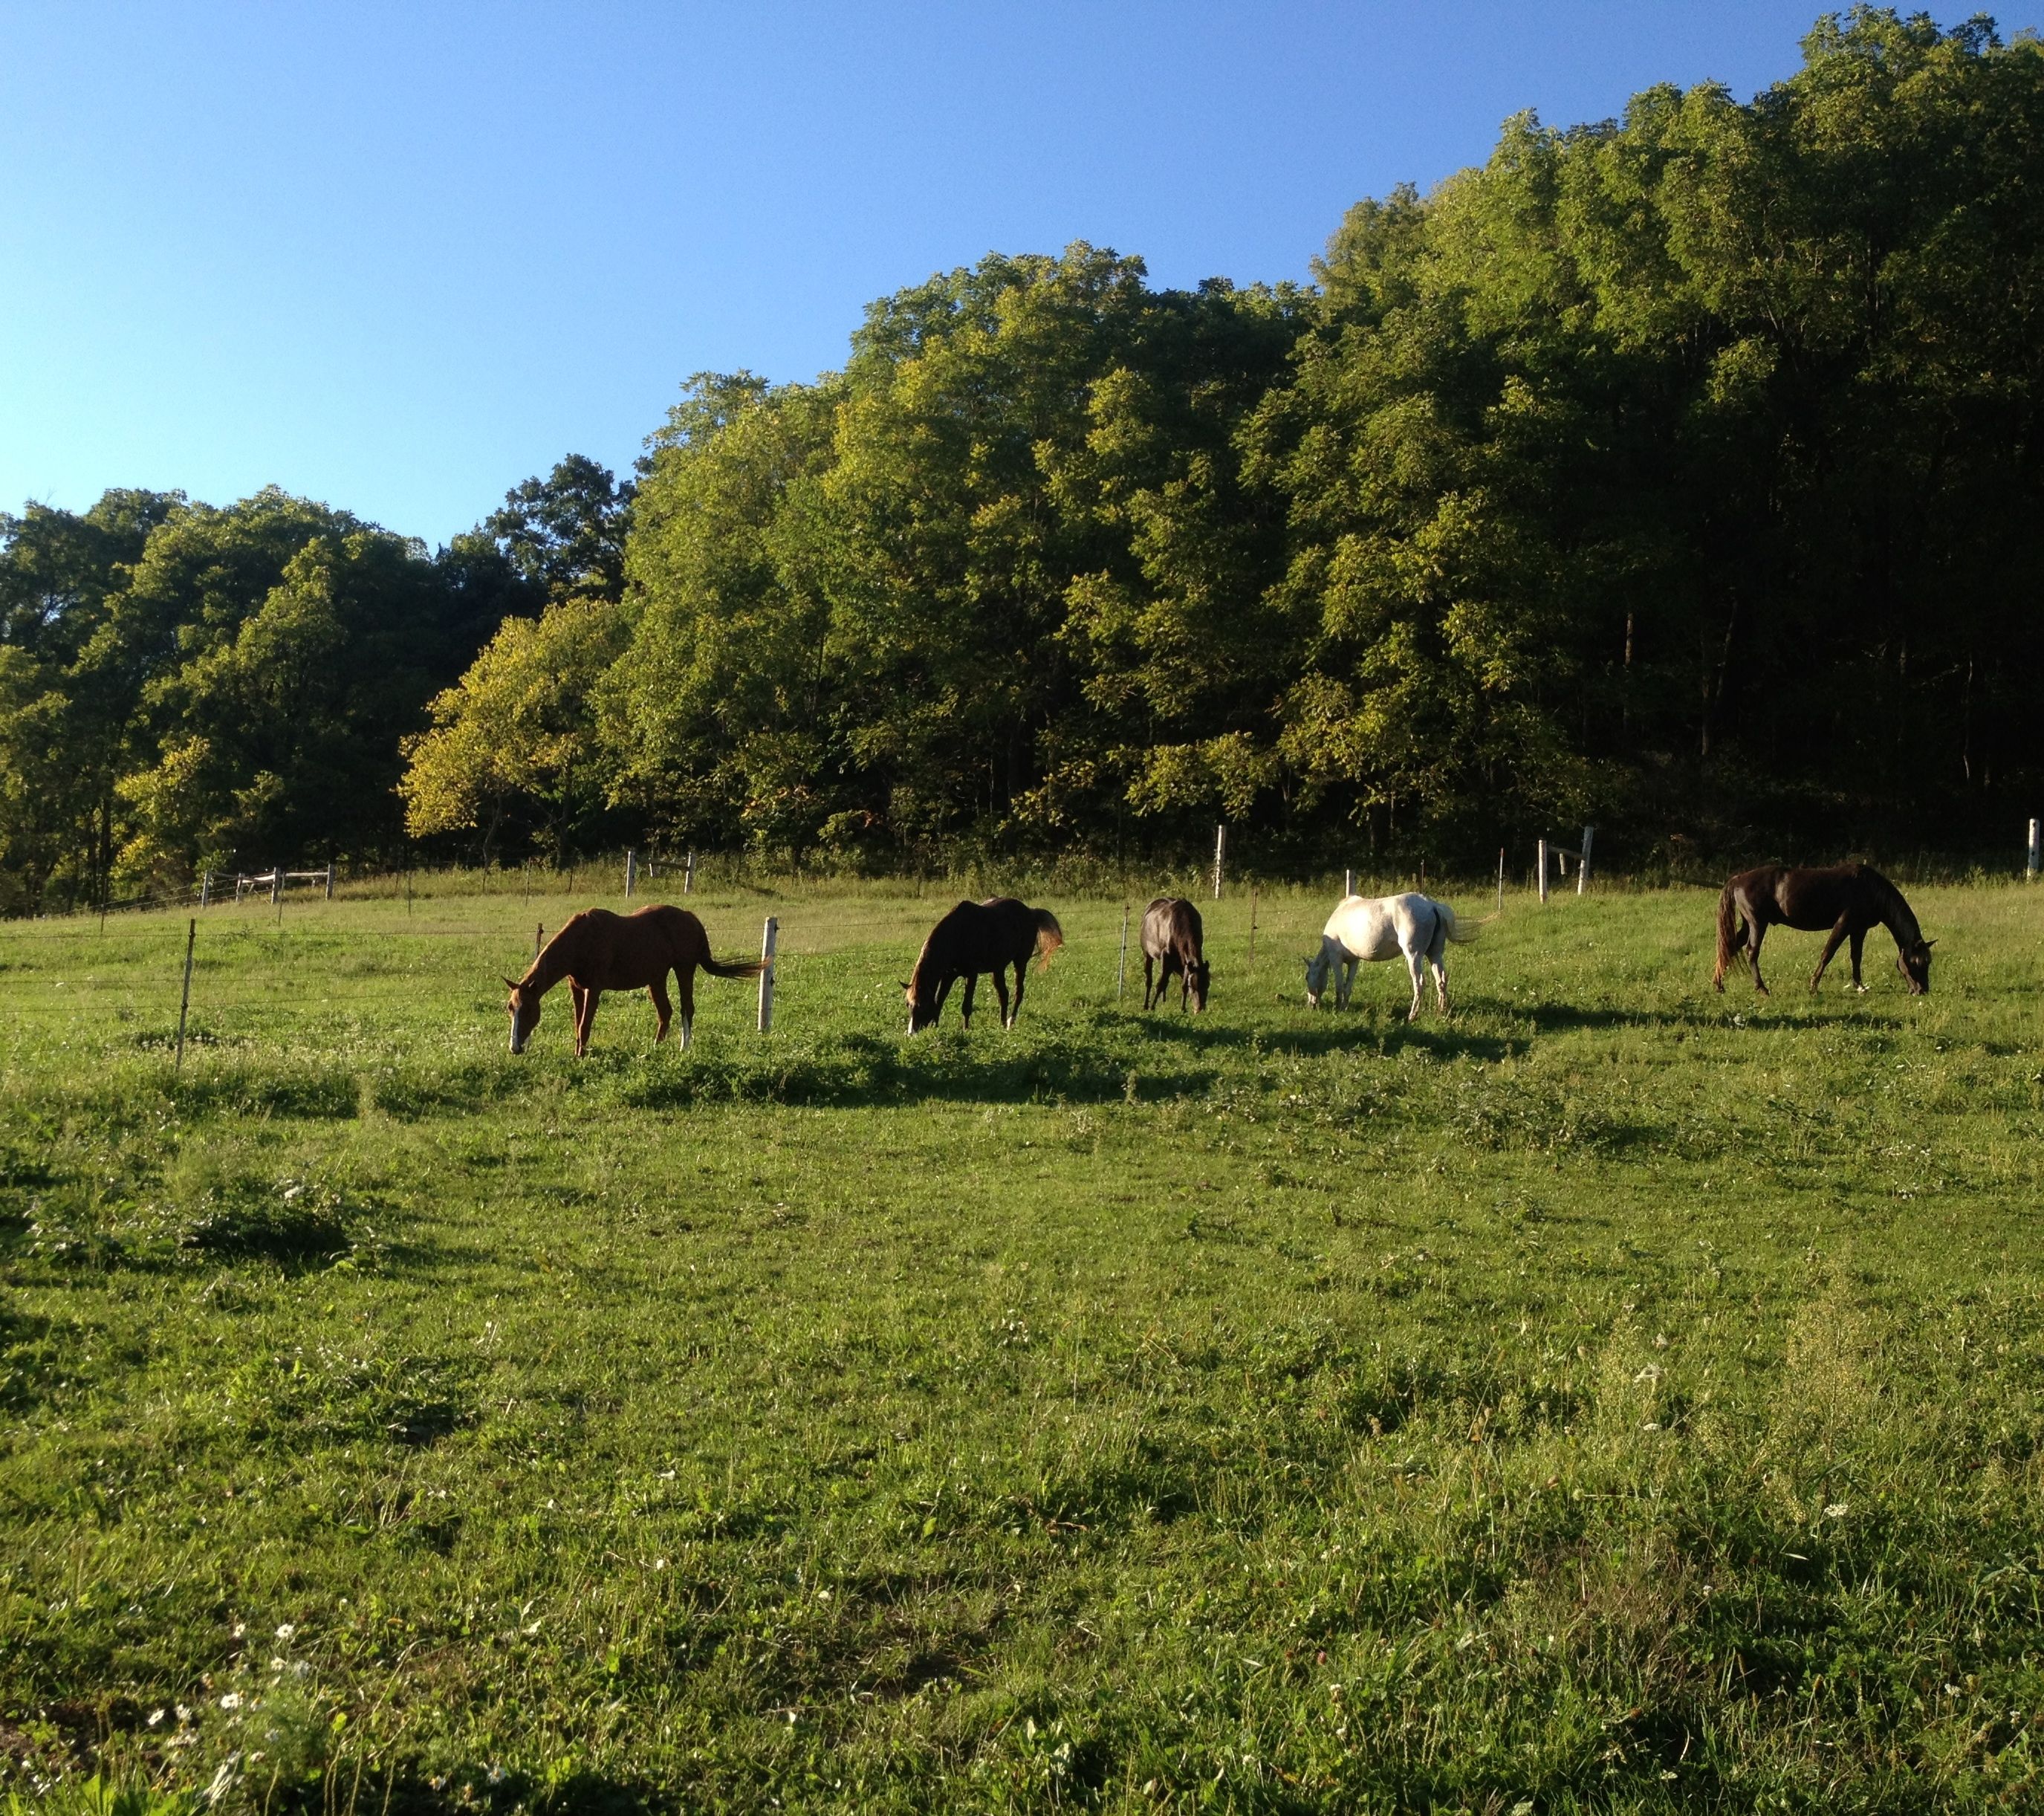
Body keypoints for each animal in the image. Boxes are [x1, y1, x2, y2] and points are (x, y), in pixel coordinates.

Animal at [503, 905, 764, 1056]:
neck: (581, 941)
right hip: (657, 978)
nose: (515, 1048)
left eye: (528, 1010)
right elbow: (578, 1023)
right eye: (510, 1008)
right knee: (665, 1013)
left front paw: (582, 1056)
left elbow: (585, 1025)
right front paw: (578, 1052)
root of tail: (691, 918)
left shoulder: (594, 989)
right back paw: (655, 1048)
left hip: (684, 970)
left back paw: (684, 1048)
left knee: (686, 1009)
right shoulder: (576, 988)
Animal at [904, 898, 1063, 1033]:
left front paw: (966, 1029)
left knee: (1019, 992)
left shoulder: (971, 975)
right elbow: (939, 1000)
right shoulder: (949, 975)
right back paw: (1002, 1023)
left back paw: (1010, 1022)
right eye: (908, 1005)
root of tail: (1031, 912)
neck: (958, 935)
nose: (911, 1033)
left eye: (922, 1006)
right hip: (998, 968)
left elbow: (966, 1006)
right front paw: (935, 1027)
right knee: (1004, 994)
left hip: (1020, 962)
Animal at [1140, 896, 1209, 1011]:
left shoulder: (1186, 960)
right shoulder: (1166, 956)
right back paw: (1146, 1005)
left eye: (1207, 985)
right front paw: (1153, 1006)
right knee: (1149, 980)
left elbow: (1183, 984)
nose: (1199, 1008)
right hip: (1148, 954)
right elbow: (1161, 983)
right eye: (1192, 986)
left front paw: (1183, 1008)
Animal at [1304, 892, 1475, 1020]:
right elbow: (1348, 986)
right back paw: (1441, 1011)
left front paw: (1338, 1008)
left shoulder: (1336, 959)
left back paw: (1412, 1016)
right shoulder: (1354, 962)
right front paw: (1344, 1007)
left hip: (1414, 956)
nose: (1312, 1005)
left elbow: (1339, 986)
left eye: (1307, 978)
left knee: (1419, 983)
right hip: (1435, 954)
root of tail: (1432, 905)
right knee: (1441, 980)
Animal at [1714, 863, 1933, 996]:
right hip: (1758, 924)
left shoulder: (1859, 929)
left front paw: (1860, 986)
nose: (1922, 990)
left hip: (1748, 924)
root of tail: (1737, 879)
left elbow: (1856, 957)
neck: (1870, 888)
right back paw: (1762, 988)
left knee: (1729, 947)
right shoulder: (1844, 924)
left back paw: (1719, 985)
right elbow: (1828, 953)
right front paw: (1813, 986)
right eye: (1918, 962)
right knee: (1751, 952)